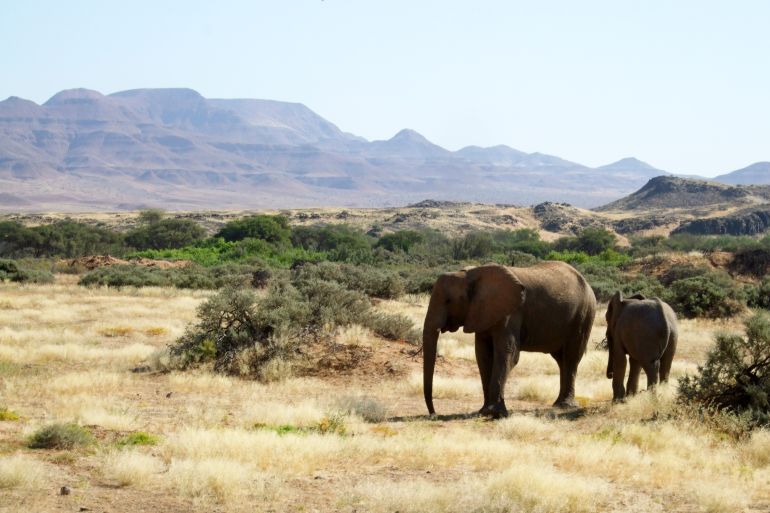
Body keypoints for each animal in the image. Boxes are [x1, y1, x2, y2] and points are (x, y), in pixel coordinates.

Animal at [420, 260, 592, 416]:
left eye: (448, 300)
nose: (434, 414)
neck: (470, 275)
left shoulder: (511, 313)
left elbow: (507, 353)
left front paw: (494, 413)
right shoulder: (482, 313)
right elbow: (483, 354)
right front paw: (484, 411)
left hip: (583, 315)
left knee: (571, 357)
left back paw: (565, 406)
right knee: (561, 360)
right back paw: (558, 404)